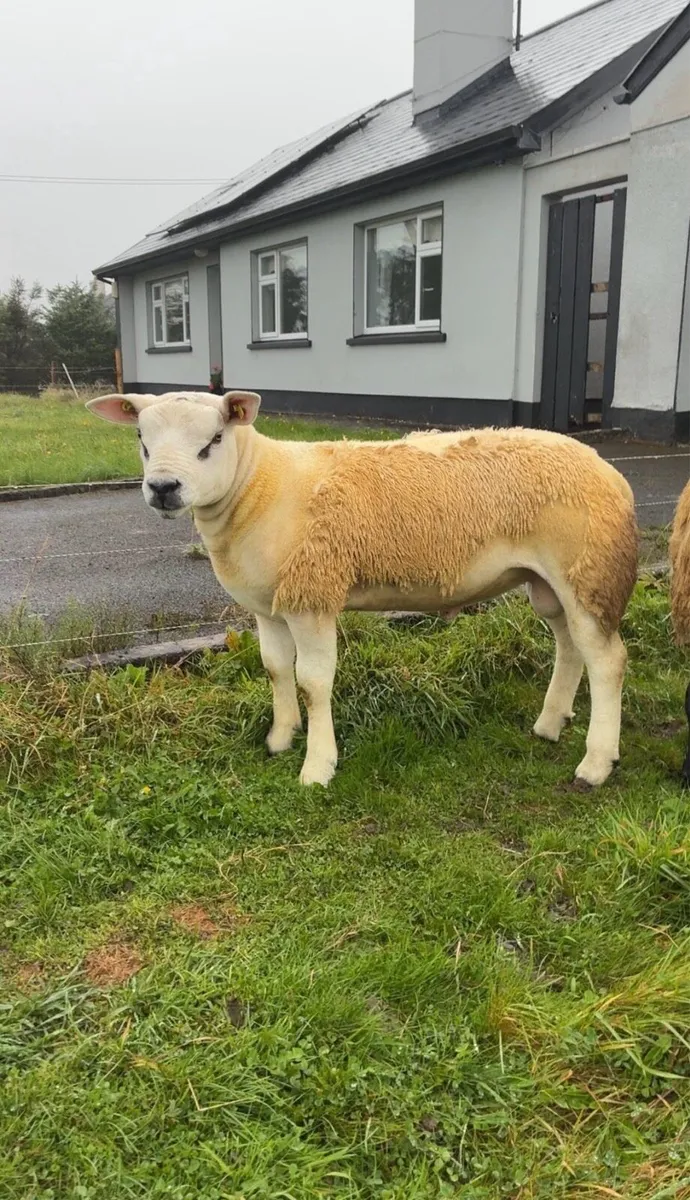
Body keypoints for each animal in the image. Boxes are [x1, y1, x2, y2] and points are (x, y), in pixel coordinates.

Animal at [87, 390, 638, 789]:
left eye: (214, 439)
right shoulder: (268, 607)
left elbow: (313, 683)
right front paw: (281, 737)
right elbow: (274, 670)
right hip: (552, 583)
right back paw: (550, 723)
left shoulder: (312, 595)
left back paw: (595, 763)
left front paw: (317, 766)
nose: (163, 488)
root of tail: (608, 470)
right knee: (570, 647)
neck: (258, 486)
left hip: (587, 572)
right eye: (141, 438)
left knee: (607, 660)